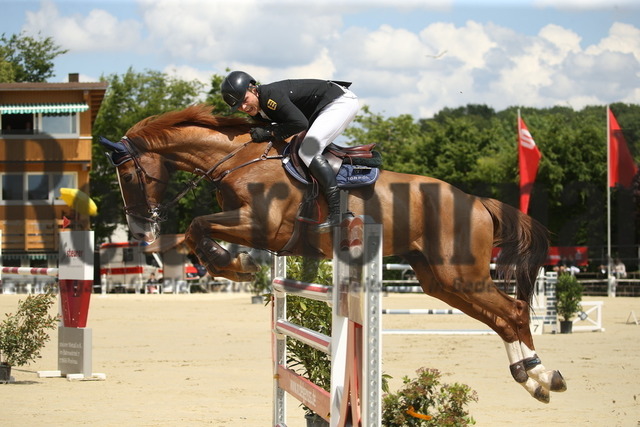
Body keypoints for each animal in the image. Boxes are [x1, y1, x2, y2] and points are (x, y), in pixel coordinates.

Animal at [100, 104, 564, 404]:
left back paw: (542, 374)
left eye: (128, 175)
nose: (139, 228)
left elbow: (197, 226)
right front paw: (233, 265)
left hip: (460, 274)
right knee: (500, 318)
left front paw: (236, 265)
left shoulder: (263, 225)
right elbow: (196, 232)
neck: (239, 158)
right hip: (439, 281)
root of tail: (477, 202)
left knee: (513, 311)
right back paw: (533, 378)